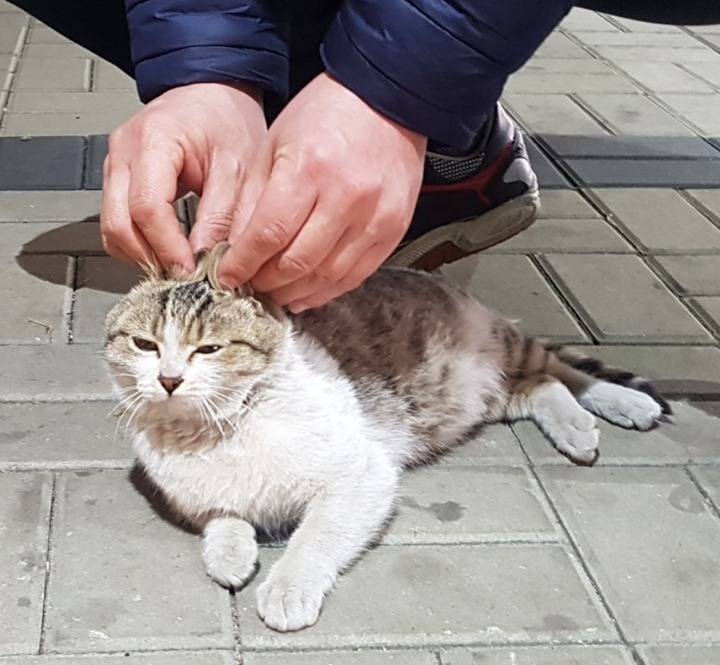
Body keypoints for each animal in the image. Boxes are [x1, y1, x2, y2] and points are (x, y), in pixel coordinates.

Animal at [102, 245, 668, 632]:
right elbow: (223, 516)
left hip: (503, 352)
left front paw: (288, 586)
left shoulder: (361, 476)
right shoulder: (200, 496)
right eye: (144, 344)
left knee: (559, 371)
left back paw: (617, 407)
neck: (217, 429)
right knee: (542, 385)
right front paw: (229, 553)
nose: (169, 379)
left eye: (210, 349)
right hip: (486, 397)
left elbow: (316, 536)